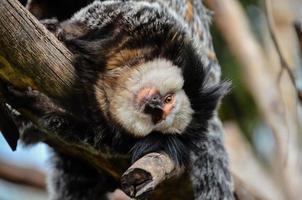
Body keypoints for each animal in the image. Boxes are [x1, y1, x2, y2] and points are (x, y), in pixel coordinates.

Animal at [0, 0, 234, 199]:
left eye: (159, 118)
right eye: (168, 100)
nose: (155, 106)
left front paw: (36, 105)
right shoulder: (155, 28)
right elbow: (107, 15)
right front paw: (60, 30)